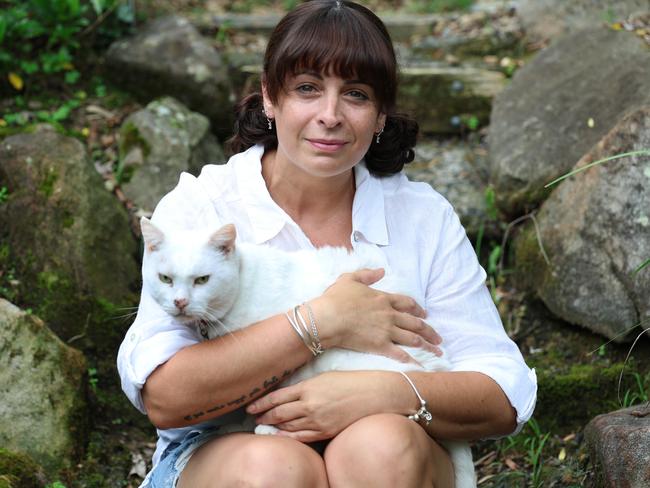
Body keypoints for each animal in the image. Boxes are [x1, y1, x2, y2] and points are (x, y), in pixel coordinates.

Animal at [140, 217, 476, 488]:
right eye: (165, 279)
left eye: (202, 280)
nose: (180, 302)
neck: (243, 284)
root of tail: (440, 368)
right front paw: (241, 425)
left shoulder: (282, 367)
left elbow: (269, 400)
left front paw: (262, 426)